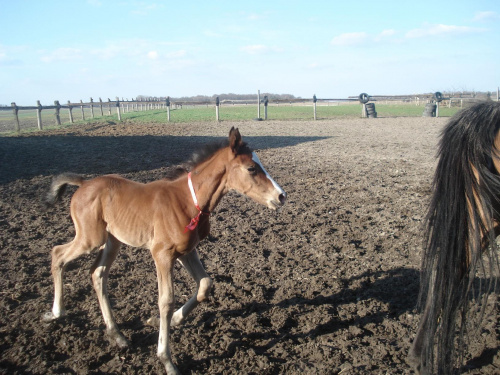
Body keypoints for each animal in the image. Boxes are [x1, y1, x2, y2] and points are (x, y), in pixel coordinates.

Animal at [44, 128, 286, 374]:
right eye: (251, 168)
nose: (281, 196)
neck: (188, 201)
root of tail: (84, 183)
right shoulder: (162, 254)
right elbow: (166, 301)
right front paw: (166, 359)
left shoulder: (187, 251)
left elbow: (205, 284)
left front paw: (171, 320)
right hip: (90, 239)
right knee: (58, 254)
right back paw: (56, 313)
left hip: (112, 241)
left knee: (97, 274)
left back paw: (116, 334)